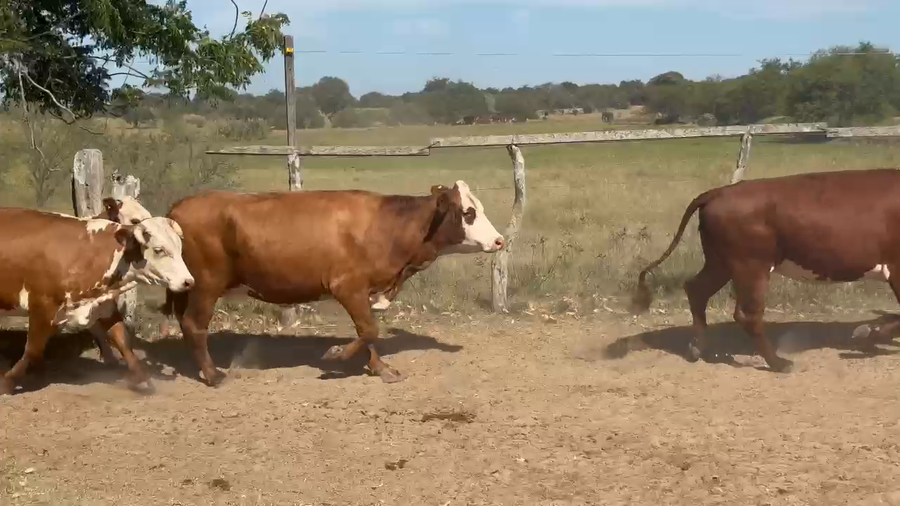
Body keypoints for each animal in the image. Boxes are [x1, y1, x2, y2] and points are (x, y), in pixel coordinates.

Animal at [0, 208, 194, 394]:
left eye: (179, 248)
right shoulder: (42, 308)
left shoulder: (104, 307)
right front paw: (8, 382)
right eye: (159, 250)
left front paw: (142, 379)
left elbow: (123, 342)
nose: (188, 281)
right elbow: (33, 349)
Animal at [159, 181, 505, 386]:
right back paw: (212, 374)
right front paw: (336, 355)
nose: (499, 240)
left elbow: (368, 332)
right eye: (469, 212)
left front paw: (380, 369)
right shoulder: (347, 286)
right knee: (194, 324)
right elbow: (368, 331)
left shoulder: (365, 291)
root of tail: (178, 207)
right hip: (206, 284)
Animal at [631, 168, 900, 373]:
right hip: (751, 266)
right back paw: (778, 363)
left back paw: (697, 348)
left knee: (696, 289)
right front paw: (869, 333)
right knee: (747, 314)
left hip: (721, 263)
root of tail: (719, 191)